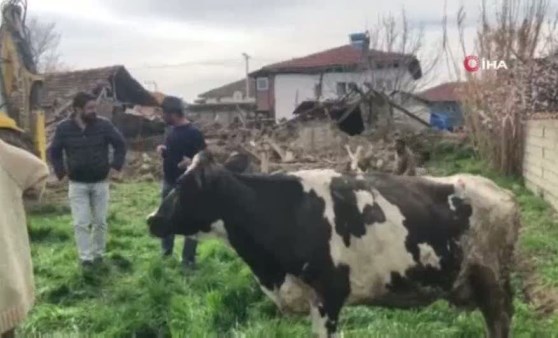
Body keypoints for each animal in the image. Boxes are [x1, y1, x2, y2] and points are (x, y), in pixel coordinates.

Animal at [147, 151, 524, 338]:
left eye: (183, 186)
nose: (152, 219)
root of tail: (501, 191)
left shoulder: (329, 294)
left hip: (493, 282)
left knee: (501, 323)